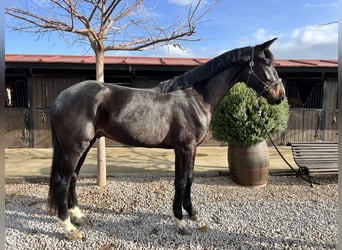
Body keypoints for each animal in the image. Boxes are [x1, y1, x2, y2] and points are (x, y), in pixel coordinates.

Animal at [46, 38, 284, 239]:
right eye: (266, 62)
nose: (280, 96)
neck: (196, 98)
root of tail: (59, 98)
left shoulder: (191, 149)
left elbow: (190, 178)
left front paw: (192, 212)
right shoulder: (184, 148)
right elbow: (180, 181)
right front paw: (180, 222)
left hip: (85, 145)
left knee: (73, 178)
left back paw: (78, 216)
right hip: (75, 148)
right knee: (62, 181)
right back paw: (69, 227)